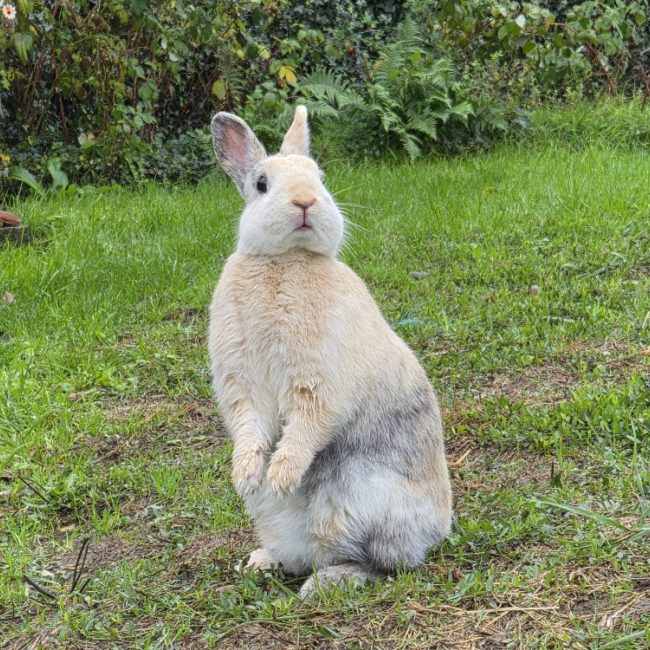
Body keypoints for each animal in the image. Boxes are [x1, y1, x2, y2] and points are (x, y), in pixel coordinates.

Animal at [208, 105, 452, 597]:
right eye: (261, 183)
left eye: (320, 178)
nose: (305, 202)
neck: (286, 260)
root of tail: (440, 529)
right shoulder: (243, 388)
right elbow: (249, 429)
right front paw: (246, 476)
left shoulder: (316, 386)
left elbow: (305, 428)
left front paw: (280, 476)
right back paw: (260, 561)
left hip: (360, 510)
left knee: (384, 565)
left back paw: (325, 583)